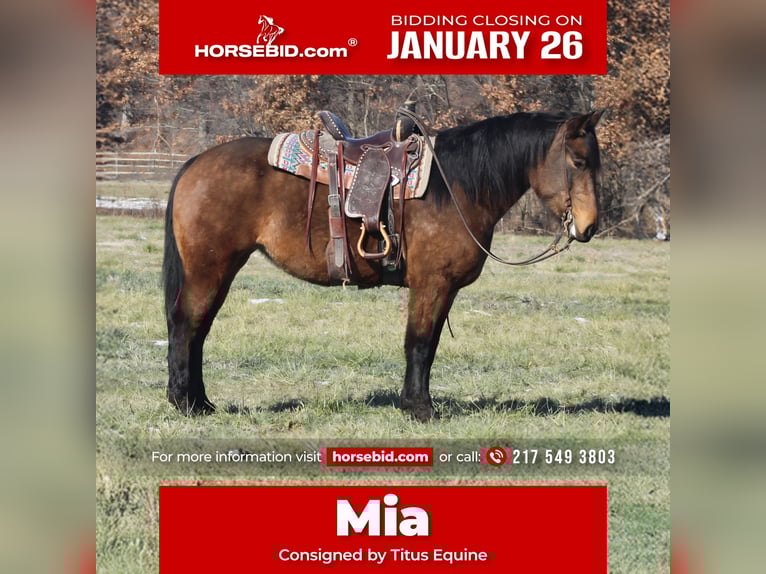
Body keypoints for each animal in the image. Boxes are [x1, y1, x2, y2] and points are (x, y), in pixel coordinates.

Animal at [162, 110, 604, 422]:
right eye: (579, 162)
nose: (588, 227)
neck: (457, 187)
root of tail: (197, 162)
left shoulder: (443, 290)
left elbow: (429, 346)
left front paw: (416, 403)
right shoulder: (432, 284)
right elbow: (419, 344)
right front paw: (419, 408)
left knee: (198, 329)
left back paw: (201, 402)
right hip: (209, 269)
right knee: (187, 325)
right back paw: (186, 403)